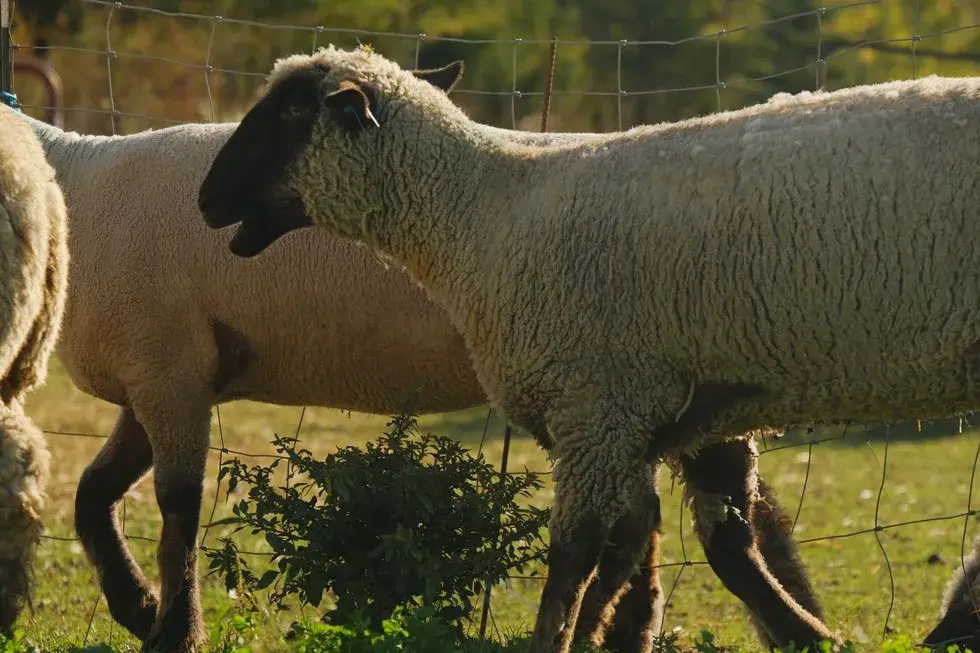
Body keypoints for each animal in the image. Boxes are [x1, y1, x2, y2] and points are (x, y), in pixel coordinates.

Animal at [20, 105, 820, 651]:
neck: (76, 188)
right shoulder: (156, 378)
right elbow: (94, 495)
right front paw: (137, 606)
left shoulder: (169, 371)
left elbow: (177, 511)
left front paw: (169, 628)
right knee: (687, 526)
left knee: (723, 532)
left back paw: (794, 630)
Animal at [197, 44, 980, 653]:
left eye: (290, 113)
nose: (205, 201)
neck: (479, 219)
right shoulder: (678, 401)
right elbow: (681, 544)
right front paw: (808, 636)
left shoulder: (593, 406)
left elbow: (578, 554)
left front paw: (559, 637)